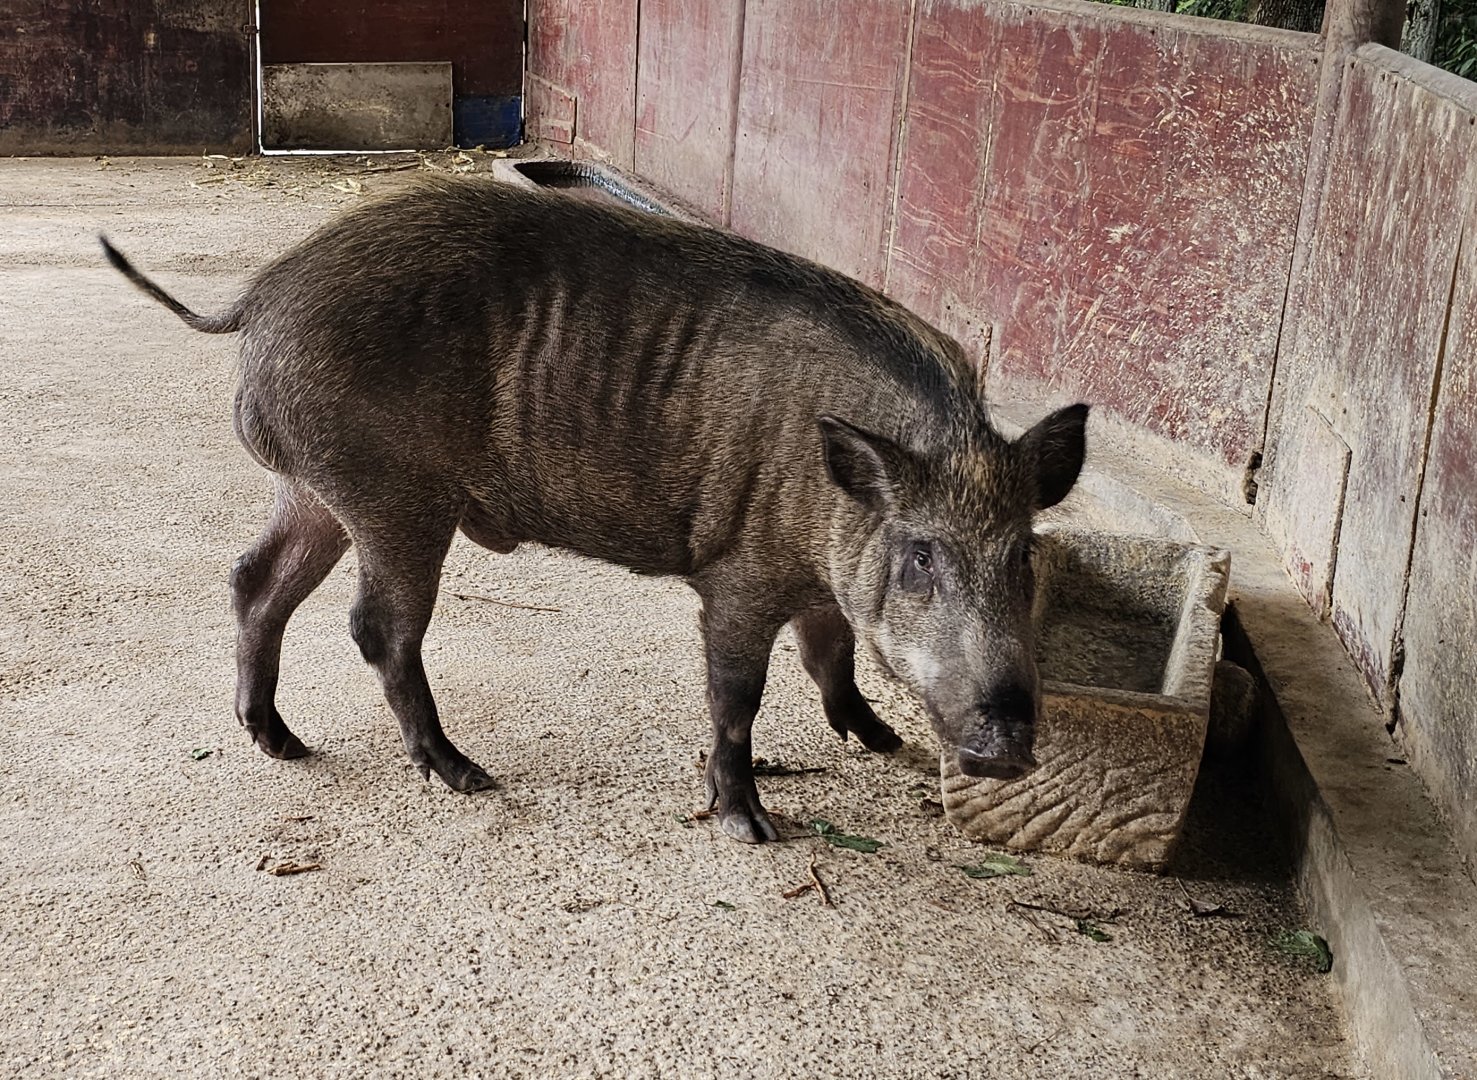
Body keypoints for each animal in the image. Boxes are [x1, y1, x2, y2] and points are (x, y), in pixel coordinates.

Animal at [101, 176, 1087, 843]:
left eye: (1023, 557)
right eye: (921, 556)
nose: (1005, 743)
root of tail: (262, 296)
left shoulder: (820, 581)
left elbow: (831, 655)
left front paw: (878, 741)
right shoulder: (737, 574)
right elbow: (739, 695)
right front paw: (752, 829)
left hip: (315, 490)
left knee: (254, 581)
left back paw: (282, 744)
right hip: (391, 497)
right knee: (375, 625)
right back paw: (466, 776)